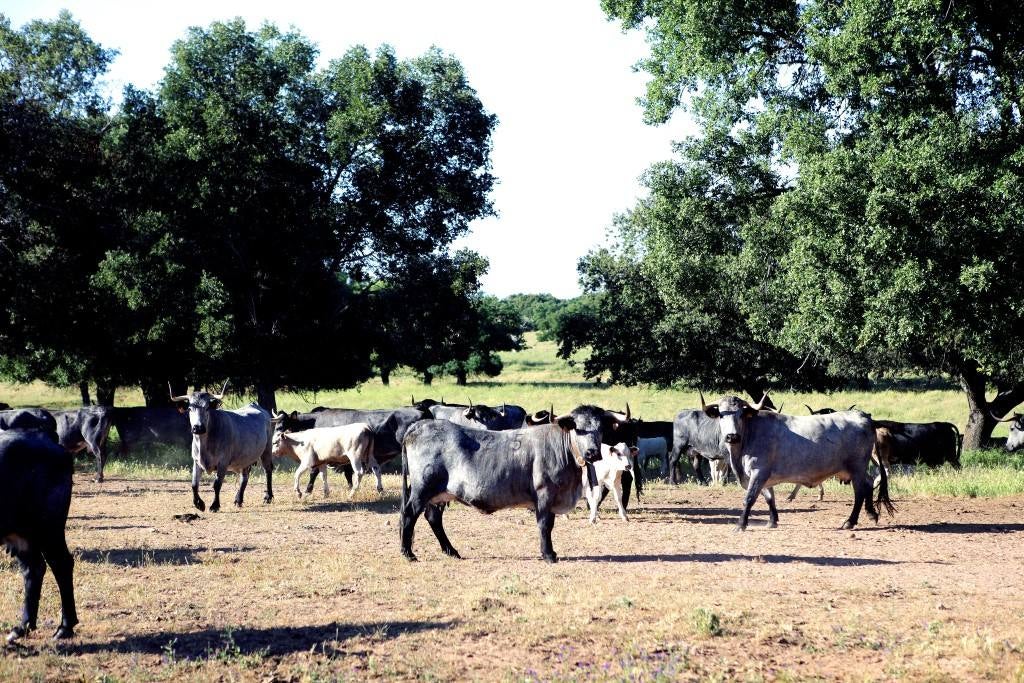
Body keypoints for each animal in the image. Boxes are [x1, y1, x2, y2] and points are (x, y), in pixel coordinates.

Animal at [0, 432, 77, 643]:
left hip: (48, 530)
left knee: (61, 564)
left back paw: (64, 628)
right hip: (22, 535)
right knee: (33, 569)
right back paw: (23, 626)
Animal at [172, 378, 276, 511]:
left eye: (207, 408)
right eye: (190, 409)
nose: (198, 427)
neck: (204, 445)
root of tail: (257, 407)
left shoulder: (223, 462)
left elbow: (217, 484)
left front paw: (215, 505)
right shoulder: (196, 461)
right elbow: (194, 484)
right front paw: (199, 504)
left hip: (267, 450)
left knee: (268, 470)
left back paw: (268, 496)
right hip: (245, 458)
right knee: (245, 477)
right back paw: (238, 499)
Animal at [700, 393, 892, 532]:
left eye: (741, 414)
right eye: (721, 415)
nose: (732, 436)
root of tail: (862, 415)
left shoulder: (758, 471)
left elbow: (749, 498)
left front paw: (741, 525)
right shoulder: (764, 476)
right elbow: (769, 498)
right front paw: (772, 521)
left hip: (857, 467)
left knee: (860, 491)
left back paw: (850, 522)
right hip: (857, 469)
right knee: (868, 483)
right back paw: (871, 514)